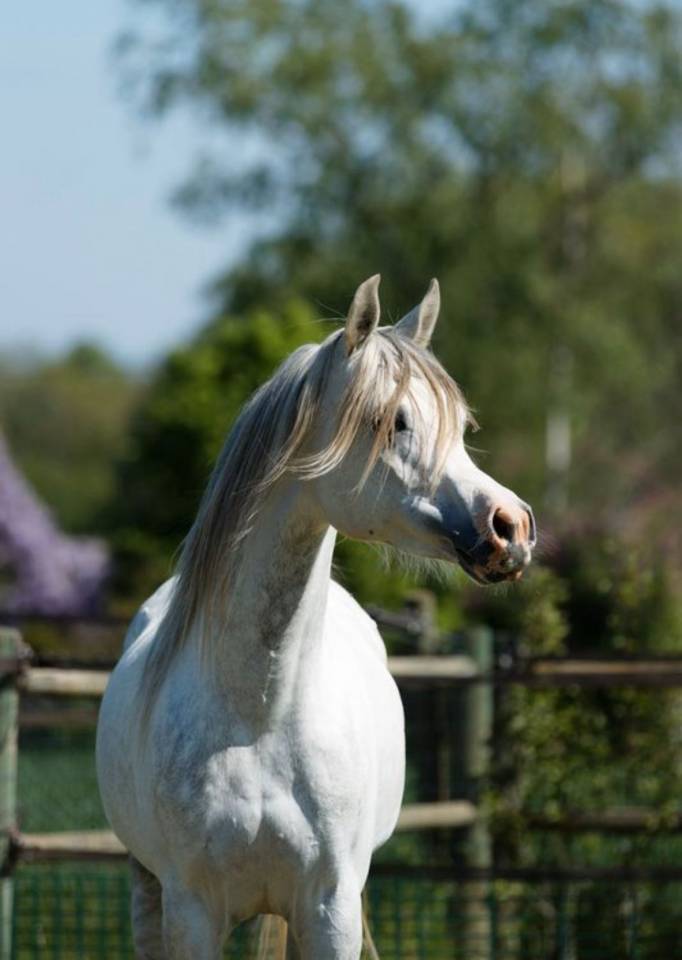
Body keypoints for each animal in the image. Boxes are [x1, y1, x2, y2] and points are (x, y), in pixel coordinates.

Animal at [96, 275, 535, 959]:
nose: (511, 526)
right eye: (395, 420)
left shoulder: (332, 907)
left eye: (460, 426)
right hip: (148, 891)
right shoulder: (190, 910)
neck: (259, 714)